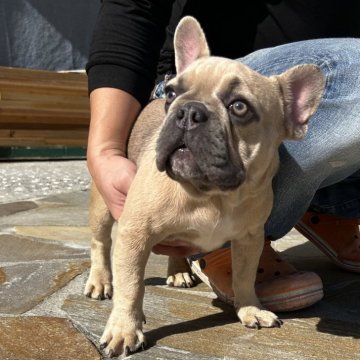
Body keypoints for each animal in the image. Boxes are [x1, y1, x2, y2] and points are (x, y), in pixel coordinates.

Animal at [85, 16, 326, 358]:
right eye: (172, 93)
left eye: (239, 107)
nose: (188, 110)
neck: (212, 195)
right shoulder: (135, 234)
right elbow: (130, 287)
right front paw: (124, 330)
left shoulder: (249, 239)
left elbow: (244, 277)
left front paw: (250, 309)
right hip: (103, 207)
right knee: (101, 243)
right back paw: (100, 281)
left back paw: (178, 271)